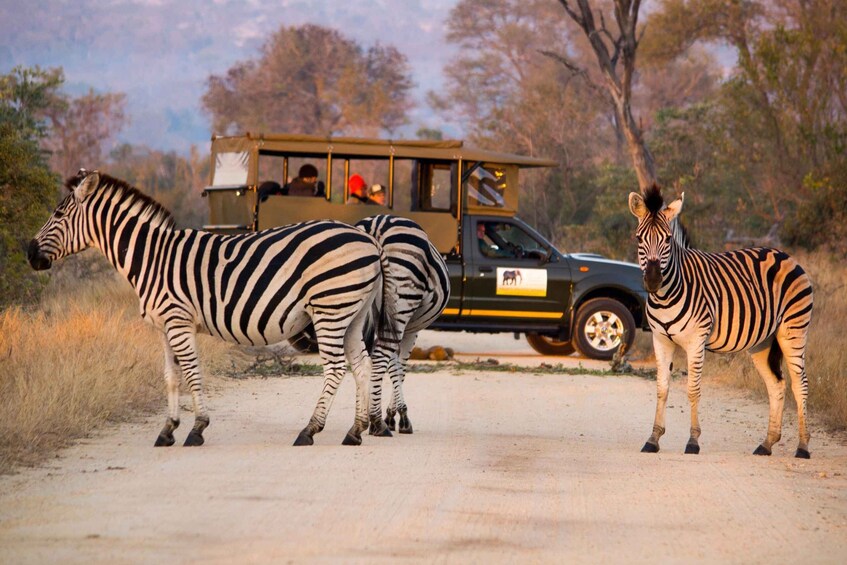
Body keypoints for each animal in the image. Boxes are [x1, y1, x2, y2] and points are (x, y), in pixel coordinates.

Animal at [28, 169, 393, 447]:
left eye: (58, 215)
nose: (29, 253)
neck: (152, 258)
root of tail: (367, 238)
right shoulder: (165, 327)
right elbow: (171, 377)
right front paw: (168, 430)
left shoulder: (178, 321)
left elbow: (192, 373)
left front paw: (196, 428)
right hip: (352, 313)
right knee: (361, 364)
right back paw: (355, 431)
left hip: (330, 309)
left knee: (336, 367)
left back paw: (310, 430)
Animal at [355, 215, 450, 435]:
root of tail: (377, 224)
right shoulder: (410, 330)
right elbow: (400, 367)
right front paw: (399, 416)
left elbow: (394, 365)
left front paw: (391, 414)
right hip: (402, 299)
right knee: (379, 357)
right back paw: (376, 422)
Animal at [628, 185, 814, 458]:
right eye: (639, 239)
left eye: (667, 240)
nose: (652, 280)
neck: (666, 294)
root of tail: (784, 255)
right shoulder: (661, 340)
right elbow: (662, 388)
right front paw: (653, 440)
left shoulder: (696, 340)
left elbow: (693, 390)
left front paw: (693, 442)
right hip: (763, 342)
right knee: (776, 385)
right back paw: (766, 444)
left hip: (793, 330)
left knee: (800, 385)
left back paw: (802, 447)